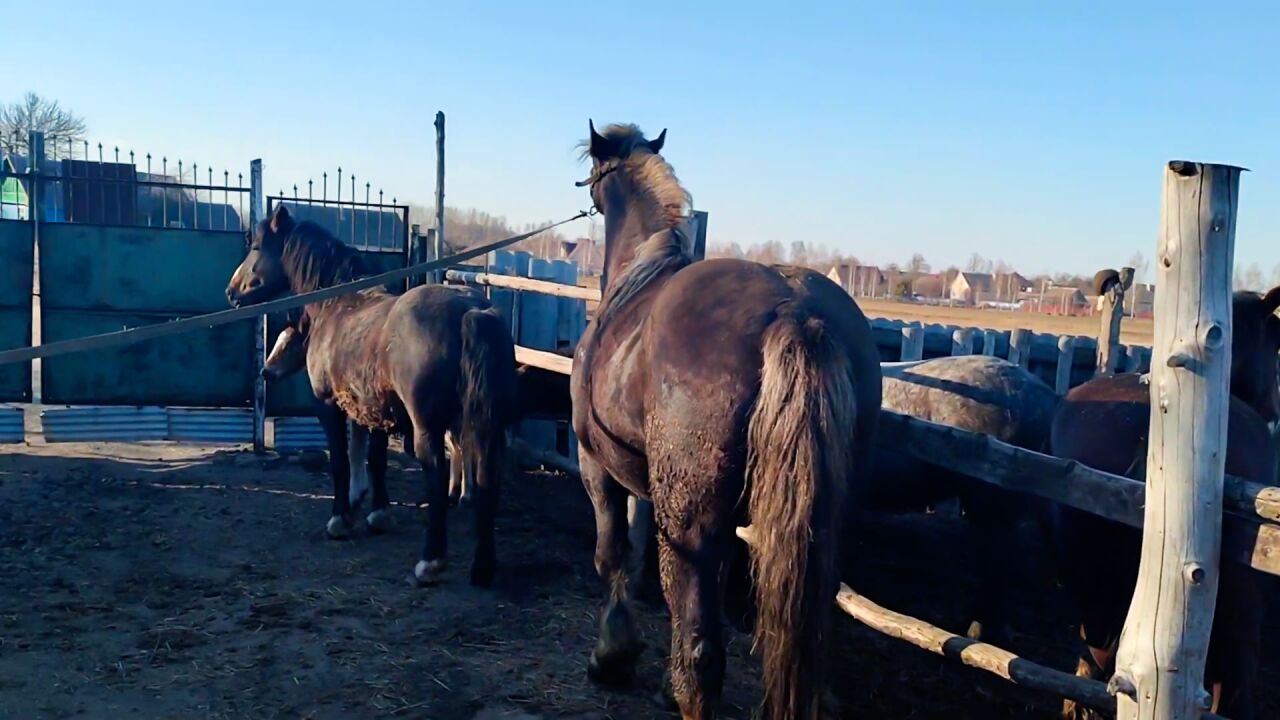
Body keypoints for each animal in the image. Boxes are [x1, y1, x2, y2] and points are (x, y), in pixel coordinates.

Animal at [226, 204, 519, 586]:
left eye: (257, 246)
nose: (231, 292)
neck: (338, 305)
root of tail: (472, 310)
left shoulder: (328, 407)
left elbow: (341, 461)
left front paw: (340, 520)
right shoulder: (379, 411)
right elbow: (376, 460)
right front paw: (378, 514)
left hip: (430, 428)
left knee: (438, 477)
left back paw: (430, 562)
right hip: (483, 424)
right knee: (487, 477)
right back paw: (483, 567)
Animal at [570, 122, 880, 717]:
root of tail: (794, 311)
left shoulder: (598, 465)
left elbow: (611, 557)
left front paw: (612, 655)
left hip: (687, 522)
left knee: (703, 657)